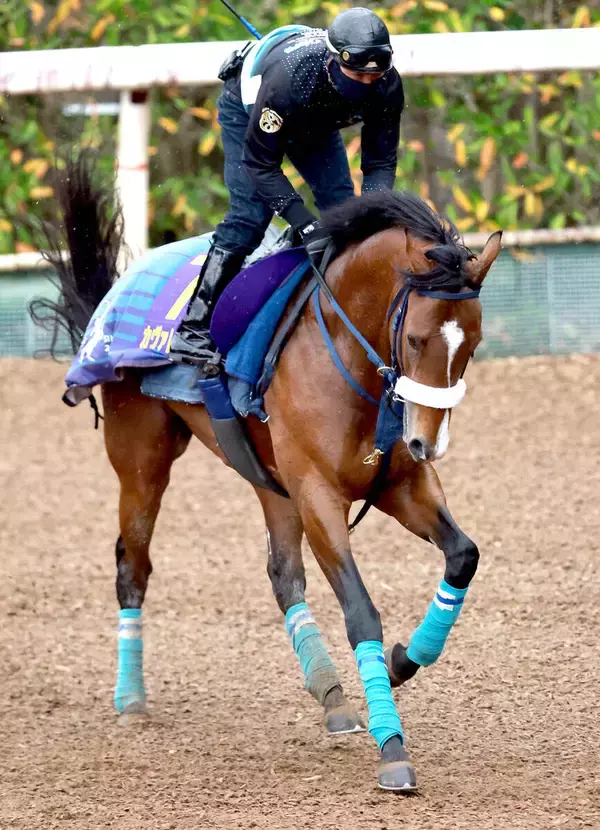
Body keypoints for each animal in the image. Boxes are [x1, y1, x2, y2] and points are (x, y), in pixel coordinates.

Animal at [32, 152, 501, 792]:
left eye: (471, 345)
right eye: (414, 338)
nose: (427, 442)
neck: (347, 356)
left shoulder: (398, 485)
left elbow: (463, 555)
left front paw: (405, 661)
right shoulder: (319, 494)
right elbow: (361, 612)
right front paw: (393, 748)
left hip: (268, 477)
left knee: (283, 574)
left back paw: (331, 694)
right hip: (143, 458)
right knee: (133, 564)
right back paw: (130, 699)